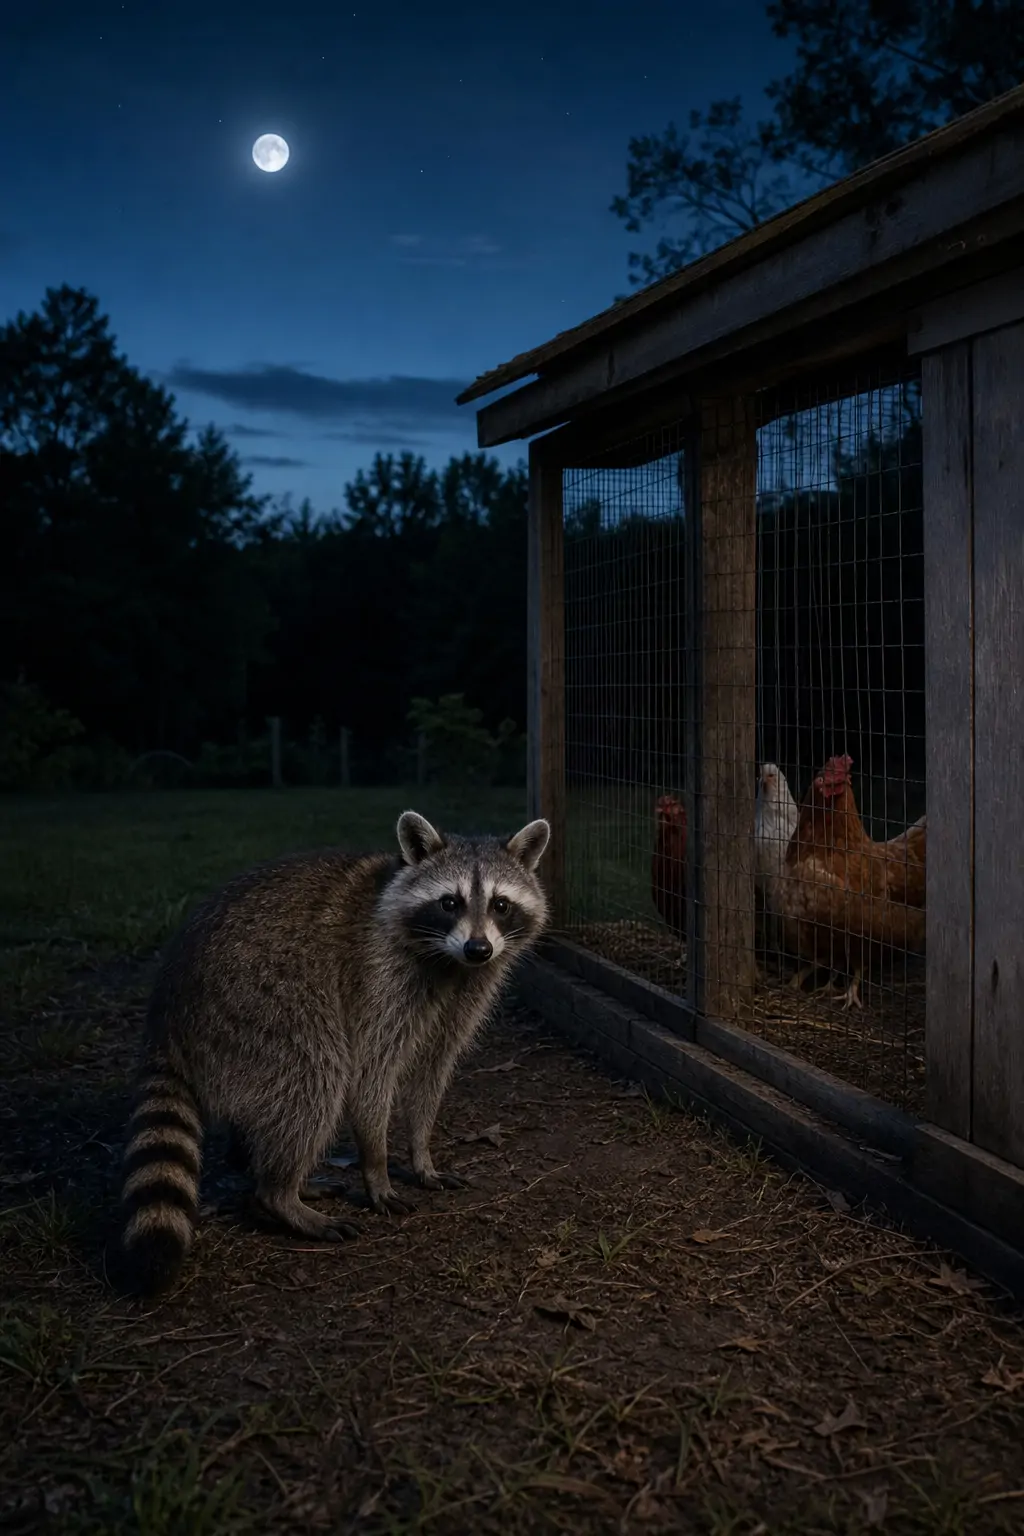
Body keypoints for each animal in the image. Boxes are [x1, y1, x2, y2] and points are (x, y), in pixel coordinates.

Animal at [114, 810, 550, 1298]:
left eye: (500, 905)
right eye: (449, 903)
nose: (479, 948)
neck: (449, 962)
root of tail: (166, 1012)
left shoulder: (465, 994)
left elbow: (432, 1075)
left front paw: (421, 1153)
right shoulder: (377, 977)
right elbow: (368, 1072)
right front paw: (377, 1166)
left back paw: (265, 1172)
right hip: (256, 1003)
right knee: (315, 1076)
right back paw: (279, 1193)